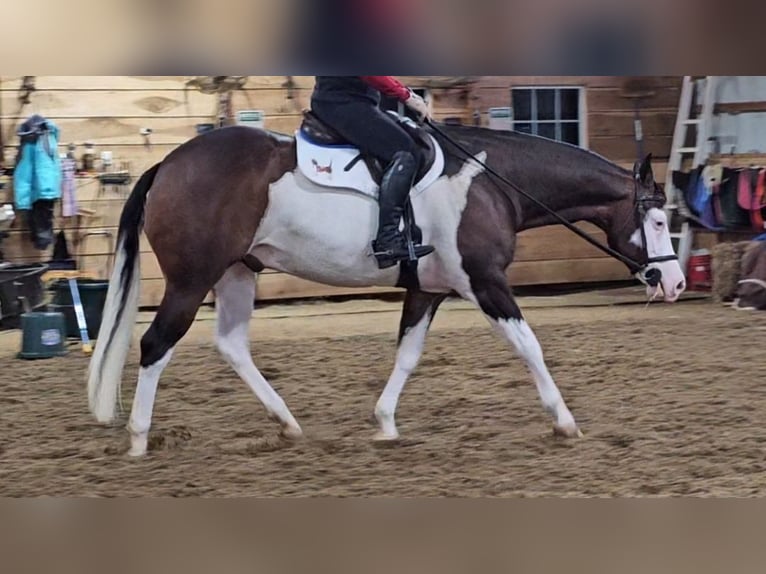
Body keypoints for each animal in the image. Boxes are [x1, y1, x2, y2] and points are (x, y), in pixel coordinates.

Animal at [87, 113, 688, 460]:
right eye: (659, 221)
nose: (676, 282)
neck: (490, 184)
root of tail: (169, 163)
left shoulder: (429, 290)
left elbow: (408, 355)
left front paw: (384, 424)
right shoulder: (484, 282)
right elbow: (529, 345)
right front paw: (564, 422)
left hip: (237, 271)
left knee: (231, 344)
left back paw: (289, 425)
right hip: (192, 279)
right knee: (156, 344)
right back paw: (139, 438)